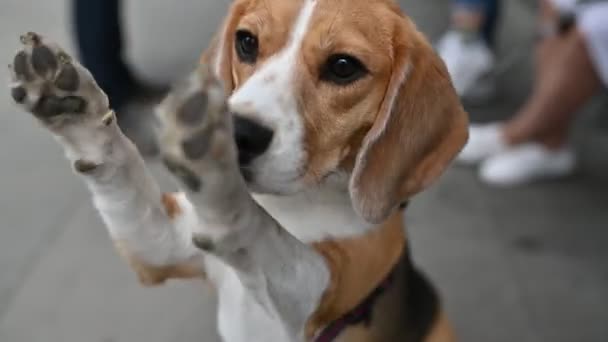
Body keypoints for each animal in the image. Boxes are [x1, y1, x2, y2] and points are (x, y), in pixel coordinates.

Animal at [7, 0, 468, 340]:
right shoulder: (162, 246)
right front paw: (72, 107)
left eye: (343, 67)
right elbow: (122, 172)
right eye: (246, 42)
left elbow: (260, 233)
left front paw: (217, 171)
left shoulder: (328, 289)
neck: (292, 205)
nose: (237, 132)